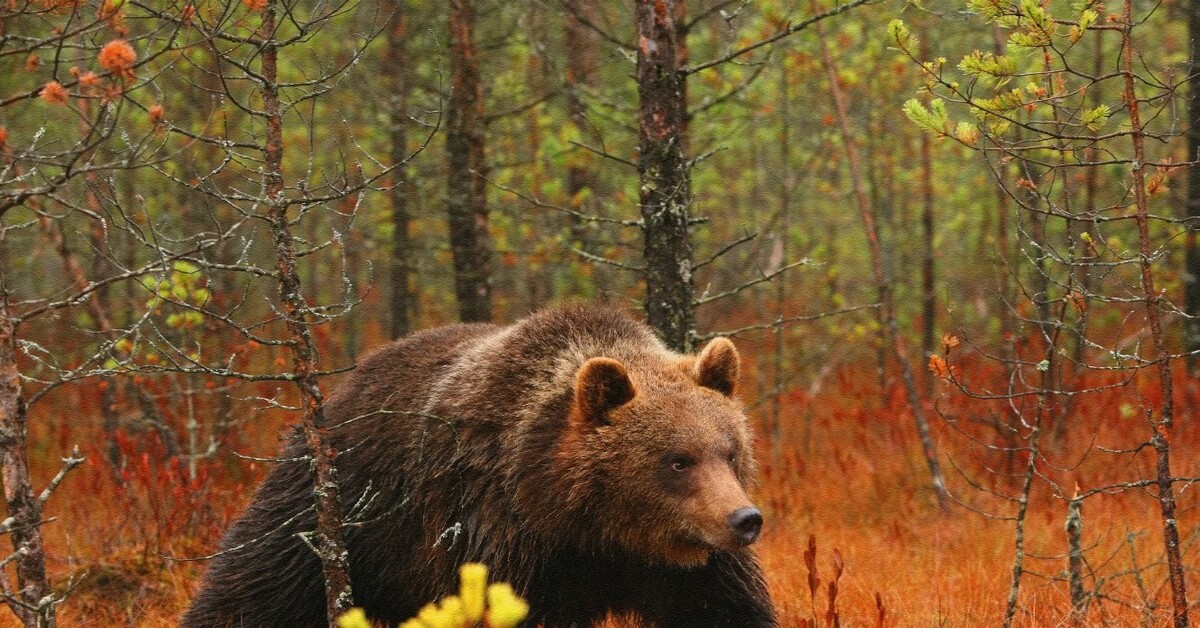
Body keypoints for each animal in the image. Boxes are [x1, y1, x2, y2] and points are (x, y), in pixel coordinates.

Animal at [181, 303, 772, 624]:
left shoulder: (687, 564)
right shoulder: (501, 536)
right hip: (337, 504)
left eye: (729, 452)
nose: (745, 519)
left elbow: (724, 610)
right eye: (677, 460)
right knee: (254, 586)